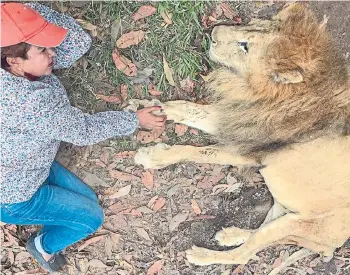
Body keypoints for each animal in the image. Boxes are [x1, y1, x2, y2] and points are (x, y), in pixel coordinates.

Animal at [129, 2, 350, 268]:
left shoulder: (246, 152)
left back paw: (202, 255)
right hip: (283, 208)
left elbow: (197, 152)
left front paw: (152, 157)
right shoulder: (235, 119)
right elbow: (186, 108)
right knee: (259, 229)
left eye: (245, 46)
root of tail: (332, 246)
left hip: (294, 224)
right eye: (251, 23)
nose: (213, 32)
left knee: (245, 255)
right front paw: (146, 108)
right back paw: (231, 234)